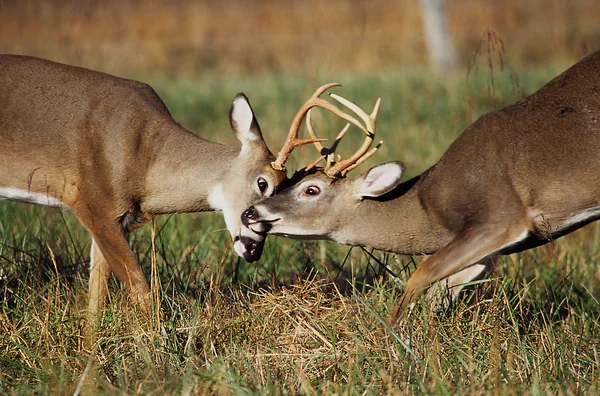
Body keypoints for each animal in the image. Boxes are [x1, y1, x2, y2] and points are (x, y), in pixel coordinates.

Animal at [0, 55, 316, 322]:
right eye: (262, 183)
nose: (253, 250)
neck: (145, 157)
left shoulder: (115, 219)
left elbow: (95, 301)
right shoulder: (93, 205)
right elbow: (140, 290)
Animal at [241, 49, 600, 324]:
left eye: (311, 189)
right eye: (290, 180)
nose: (249, 213)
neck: (430, 208)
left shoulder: (502, 216)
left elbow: (422, 273)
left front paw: (390, 337)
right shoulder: (490, 246)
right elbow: (442, 290)